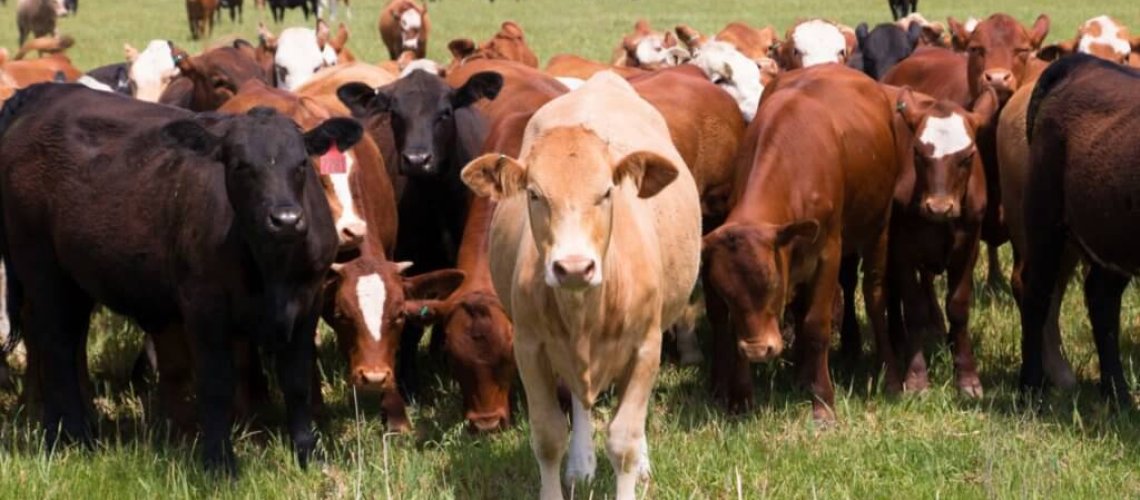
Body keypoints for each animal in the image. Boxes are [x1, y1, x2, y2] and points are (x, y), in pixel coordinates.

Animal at [0, 83, 362, 473]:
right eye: (240, 166)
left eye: (302, 164)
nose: (286, 219)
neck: (271, 269)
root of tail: (48, 93)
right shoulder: (203, 304)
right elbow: (216, 384)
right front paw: (219, 463)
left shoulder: (307, 301)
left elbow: (296, 381)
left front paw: (309, 454)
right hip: (40, 265)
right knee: (55, 346)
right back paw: (72, 437)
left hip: (74, 278)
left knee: (66, 339)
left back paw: (67, 432)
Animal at [462, 70, 701, 500]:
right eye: (534, 194)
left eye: (606, 191)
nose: (573, 267)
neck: (586, 309)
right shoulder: (529, 348)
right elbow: (548, 437)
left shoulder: (646, 347)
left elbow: (624, 440)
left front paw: (634, 466)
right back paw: (581, 463)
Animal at [702, 64, 902, 417]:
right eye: (725, 294)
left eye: (770, 285)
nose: (758, 350)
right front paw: (741, 398)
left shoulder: (829, 253)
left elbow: (815, 325)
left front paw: (822, 402)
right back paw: (800, 373)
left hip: (879, 225)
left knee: (875, 295)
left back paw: (888, 374)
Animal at [886, 87, 997, 395]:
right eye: (918, 152)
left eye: (968, 156)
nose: (938, 207)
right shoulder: (902, 249)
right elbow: (913, 307)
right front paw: (916, 377)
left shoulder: (969, 247)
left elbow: (958, 307)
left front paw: (967, 376)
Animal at [997, 16, 1140, 391]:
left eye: (1127, 53)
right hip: (1043, 221)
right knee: (1035, 292)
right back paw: (1032, 386)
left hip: (1108, 232)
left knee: (1101, 299)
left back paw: (1116, 392)